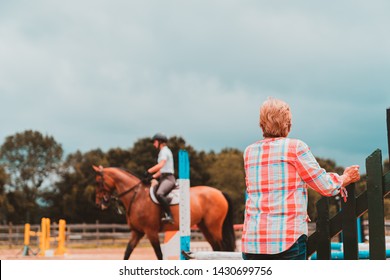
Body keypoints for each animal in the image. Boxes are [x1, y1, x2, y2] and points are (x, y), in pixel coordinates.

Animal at [93, 165, 236, 260]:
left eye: (98, 182)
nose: (99, 203)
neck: (137, 196)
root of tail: (219, 192)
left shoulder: (151, 232)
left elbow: (159, 254)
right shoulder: (137, 232)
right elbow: (127, 253)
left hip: (214, 227)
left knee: (223, 248)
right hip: (205, 227)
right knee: (216, 248)